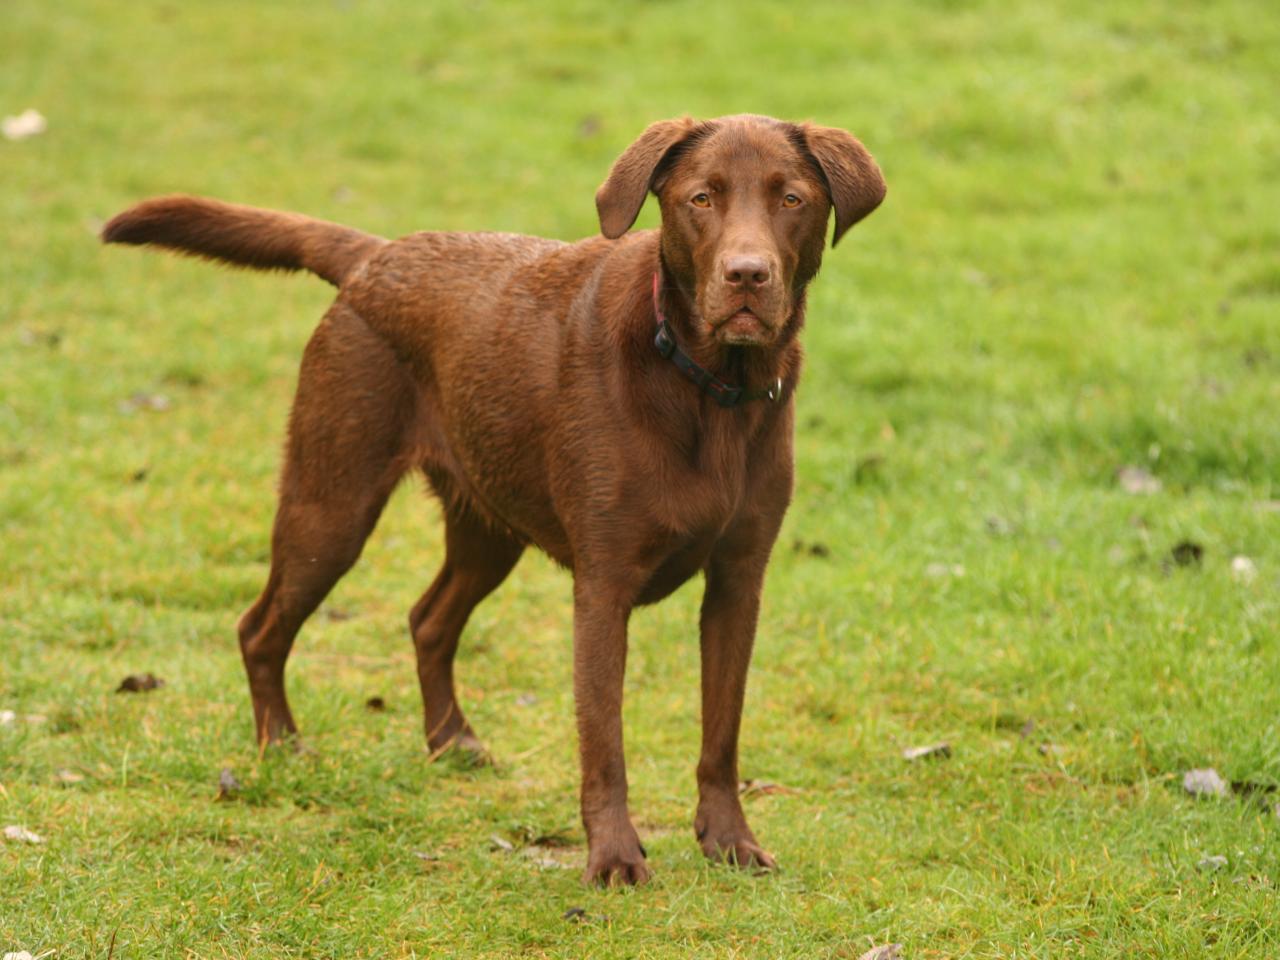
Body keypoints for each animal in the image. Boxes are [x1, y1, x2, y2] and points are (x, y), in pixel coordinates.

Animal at [104, 112, 885, 885]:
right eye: (701, 198)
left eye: (792, 200)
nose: (747, 274)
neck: (705, 386)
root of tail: (375, 256)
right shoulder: (603, 586)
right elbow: (604, 740)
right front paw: (614, 857)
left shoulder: (737, 581)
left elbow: (721, 731)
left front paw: (728, 841)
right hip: (331, 505)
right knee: (261, 627)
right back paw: (283, 749)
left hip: (487, 526)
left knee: (428, 620)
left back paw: (451, 742)